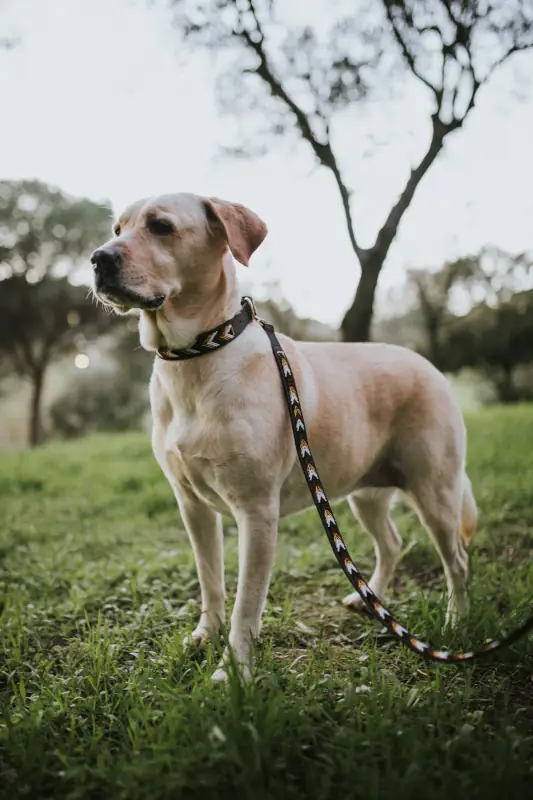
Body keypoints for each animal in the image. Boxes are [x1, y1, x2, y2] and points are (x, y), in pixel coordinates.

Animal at [91, 193, 477, 681]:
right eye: (118, 229)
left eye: (161, 226)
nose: (98, 258)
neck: (199, 353)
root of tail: (429, 366)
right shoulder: (192, 506)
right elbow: (211, 582)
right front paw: (206, 634)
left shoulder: (256, 513)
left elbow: (247, 604)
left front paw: (233, 671)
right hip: (364, 493)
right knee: (391, 543)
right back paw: (372, 598)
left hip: (435, 493)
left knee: (457, 561)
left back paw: (456, 620)